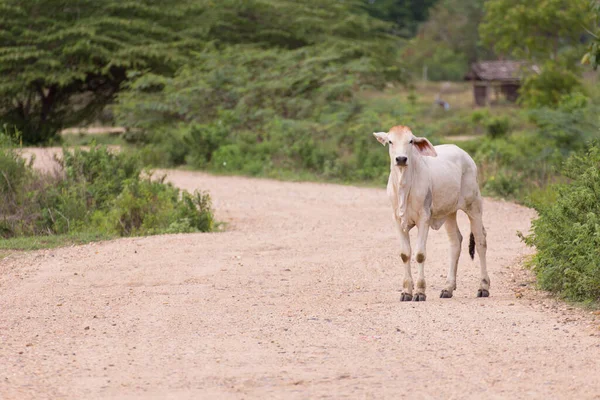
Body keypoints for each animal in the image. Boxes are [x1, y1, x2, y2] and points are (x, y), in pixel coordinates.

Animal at [372, 126, 490, 302]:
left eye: (411, 141)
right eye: (390, 141)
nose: (401, 159)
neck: (404, 185)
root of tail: (464, 154)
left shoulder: (424, 218)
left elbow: (420, 254)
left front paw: (420, 292)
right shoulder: (397, 220)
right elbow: (405, 254)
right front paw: (406, 292)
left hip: (474, 205)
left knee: (480, 240)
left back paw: (483, 287)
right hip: (450, 212)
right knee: (455, 241)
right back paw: (448, 288)